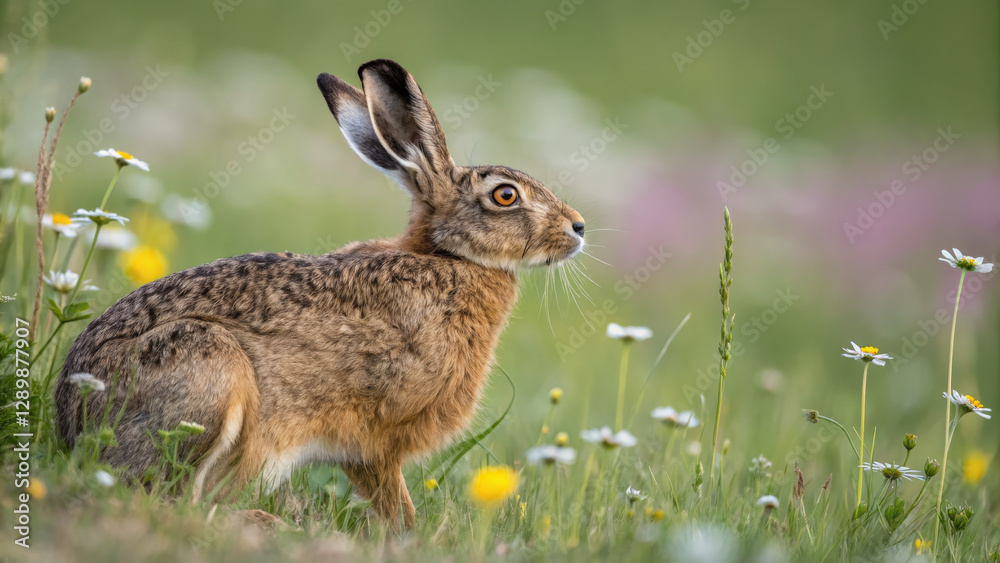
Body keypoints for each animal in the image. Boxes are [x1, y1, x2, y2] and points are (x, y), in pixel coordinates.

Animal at [55, 59, 586, 528]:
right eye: (505, 195)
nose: (578, 227)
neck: (449, 257)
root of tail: (73, 424)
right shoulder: (375, 438)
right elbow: (394, 500)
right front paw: (408, 538)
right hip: (207, 370)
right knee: (167, 495)